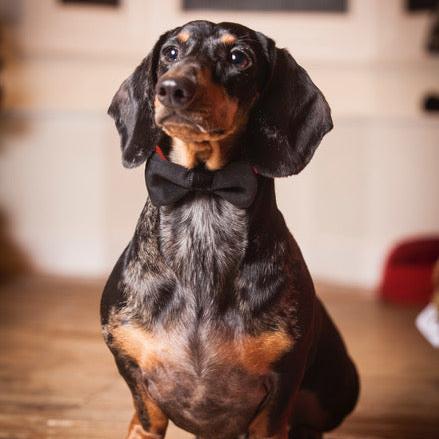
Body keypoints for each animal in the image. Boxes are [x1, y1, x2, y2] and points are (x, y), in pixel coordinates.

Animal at [101, 18, 360, 438]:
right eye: (171, 52)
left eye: (239, 57)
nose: (171, 88)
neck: (203, 192)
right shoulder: (132, 369)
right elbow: (146, 418)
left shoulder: (281, 385)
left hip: (335, 392)